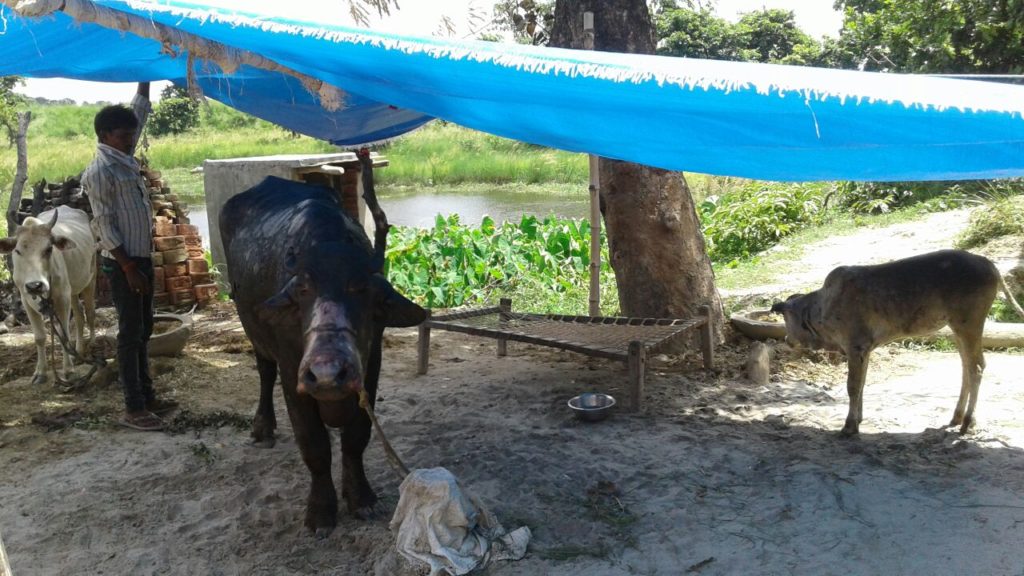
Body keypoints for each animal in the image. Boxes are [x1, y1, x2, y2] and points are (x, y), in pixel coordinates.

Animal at [0, 203, 96, 383]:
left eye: (49, 249)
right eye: (17, 251)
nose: (35, 285)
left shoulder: (62, 298)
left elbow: (64, 335)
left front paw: (68, 370)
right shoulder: (26, 300)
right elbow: (40, 337)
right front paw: (40, 372)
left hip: (90, 278)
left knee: (90, 312)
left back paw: (92, 344)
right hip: (72, 291)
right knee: (79, 315)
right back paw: (78, 352)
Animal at [222, 175, 425, 532]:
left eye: (362, 288)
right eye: (303, 290)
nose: (328, 374)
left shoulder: (370, 367)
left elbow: (356, 437)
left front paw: (360, 497)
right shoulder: (293, 373)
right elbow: (314, 444)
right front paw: (320, 511)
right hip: (253, 331)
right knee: (264, 372)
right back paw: (262, 428)